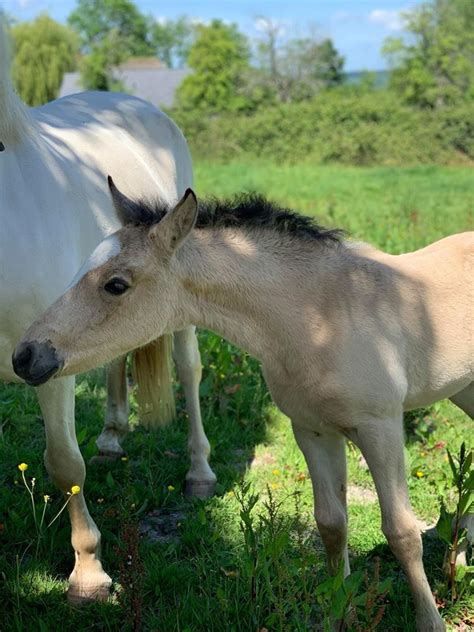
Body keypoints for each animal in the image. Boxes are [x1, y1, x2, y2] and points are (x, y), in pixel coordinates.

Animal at [0, 22, 215, 604]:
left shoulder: (43, 362)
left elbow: (62, 462)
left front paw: (89, 573)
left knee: (189, 370)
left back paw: (200, 472)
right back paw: (113, 438)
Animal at [12, 180, 472, 628]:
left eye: (116, 284)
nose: (26, 356)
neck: (322, 318)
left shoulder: (381, 427)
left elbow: (401, 532)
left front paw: (430, 622)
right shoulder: (312, 429)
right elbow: (331, 525)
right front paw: (340, 614)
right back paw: (458, 558)